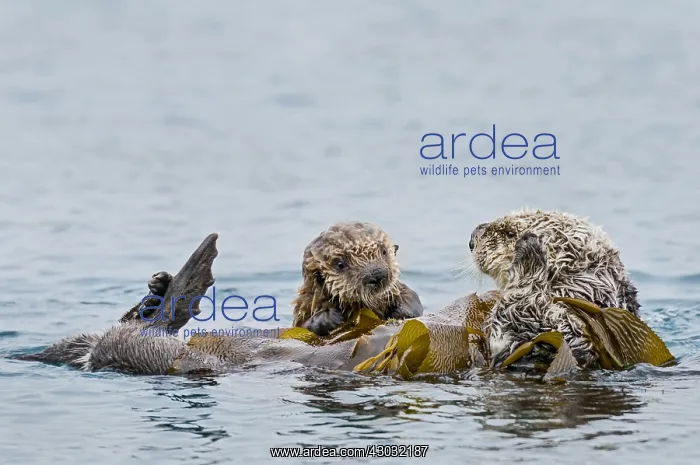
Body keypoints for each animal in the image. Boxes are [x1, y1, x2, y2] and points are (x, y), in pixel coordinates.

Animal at [291, 222, 423, 336]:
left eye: (384, 251)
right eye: (340, 264)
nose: (377, 273)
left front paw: (403, 308)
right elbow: (303, 326)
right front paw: (330, 317)